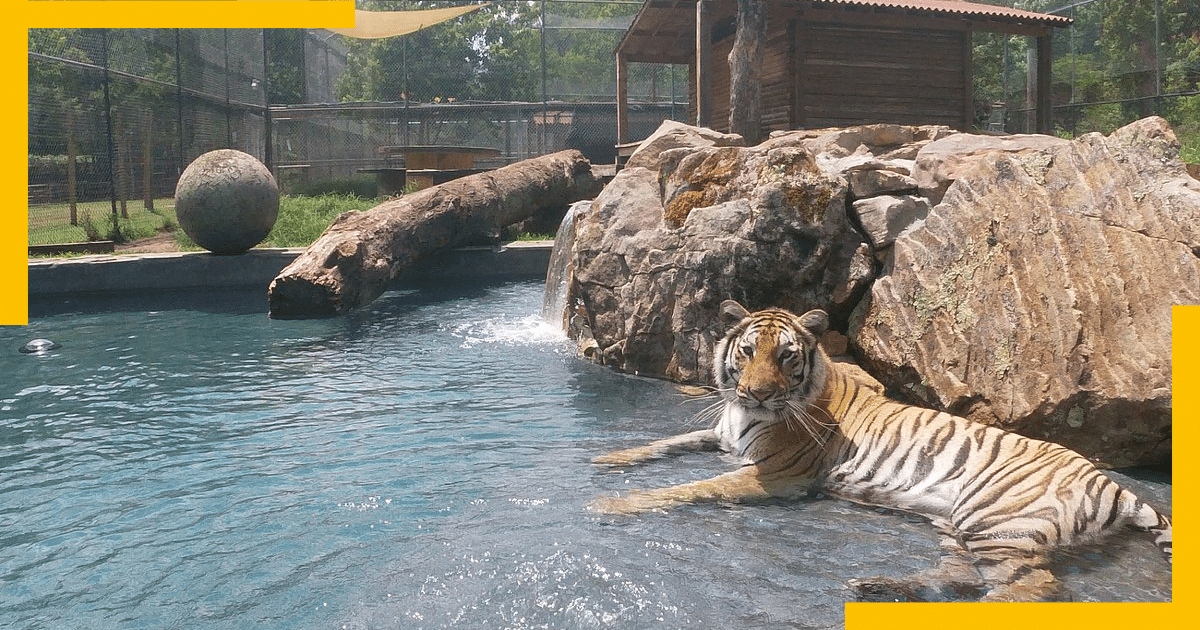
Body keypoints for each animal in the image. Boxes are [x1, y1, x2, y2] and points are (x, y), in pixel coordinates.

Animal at [590, 300, 1171, 600]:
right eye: (748, 351)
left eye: (785, 357)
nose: (754, 392)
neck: (745, 414)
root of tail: (1110, 480)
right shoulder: (722, 436)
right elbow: (663, 442)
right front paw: (604, 460)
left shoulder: (774, 476)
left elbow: (688, 487)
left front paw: (611, 503)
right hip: (959, 523)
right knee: (961, 576)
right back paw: (879, 587)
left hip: (995, 518)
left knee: (1029, 593)